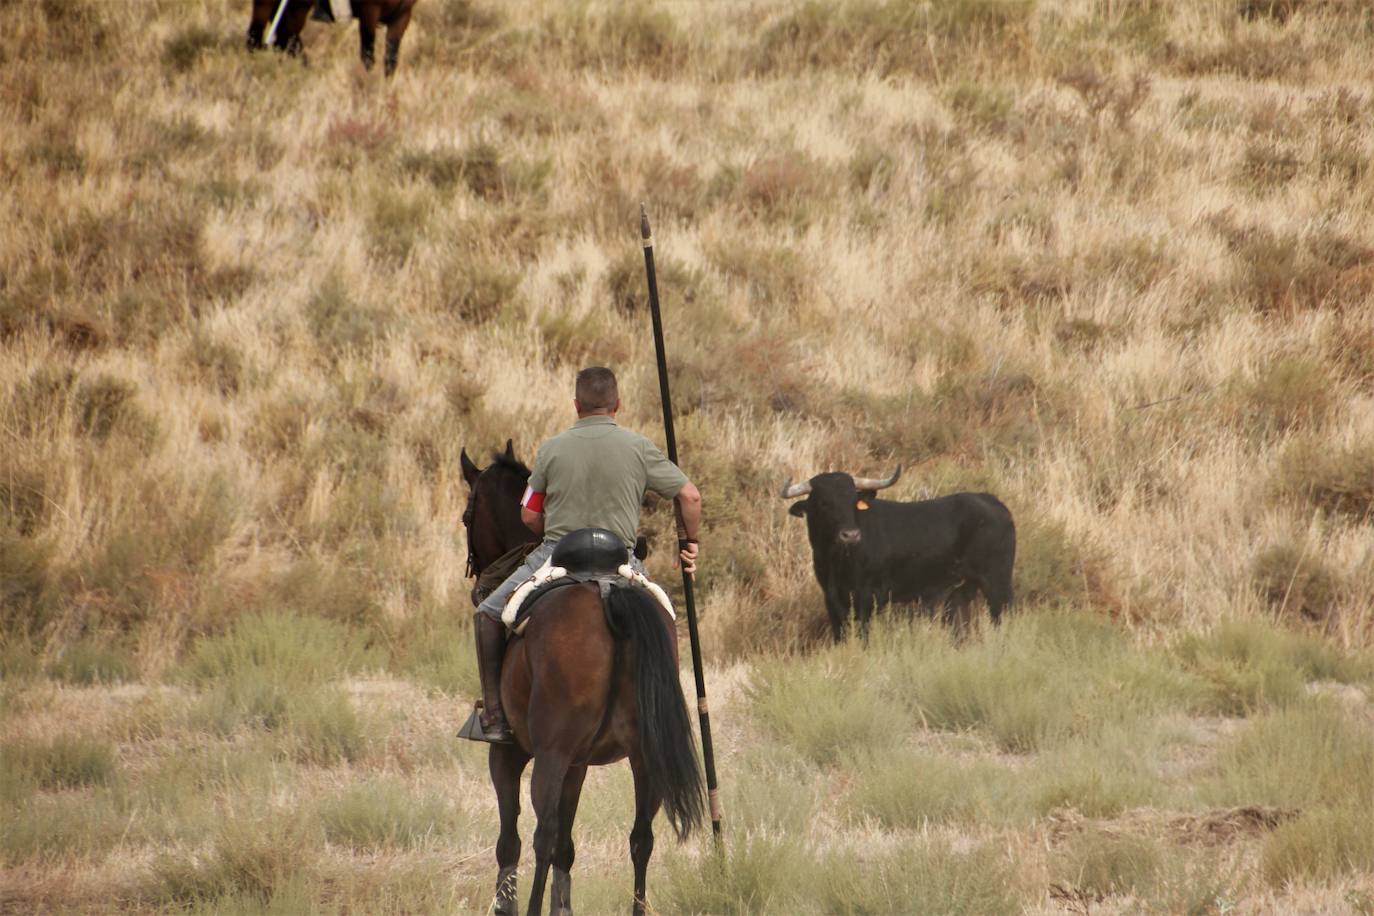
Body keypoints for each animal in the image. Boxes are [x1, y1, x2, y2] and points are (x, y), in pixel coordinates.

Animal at [247, 0, 417, 76]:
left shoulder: (402, 16)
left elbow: (391, 60)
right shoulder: (369, 12)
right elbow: (368, 57)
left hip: (298, 7)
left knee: (286, 41)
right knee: (255, 39)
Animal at [461, 439, 703, 911]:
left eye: (467, 516)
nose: (478, 582)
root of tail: (606, 589)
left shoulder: (510, 756)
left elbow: (512, 842)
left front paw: (507, 904)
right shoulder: (578, 764)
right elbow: (567, 849)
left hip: (549, 756)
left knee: (542, 836)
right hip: (643, 756)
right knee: (641, 839)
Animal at [785, 469, 1011, 642]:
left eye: (852, 500)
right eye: (823, 503)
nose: (850, 535)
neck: (837, 561)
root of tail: (991, 500)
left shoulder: (868, 597)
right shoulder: (832, 600)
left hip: (997, 582)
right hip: (959, 593)